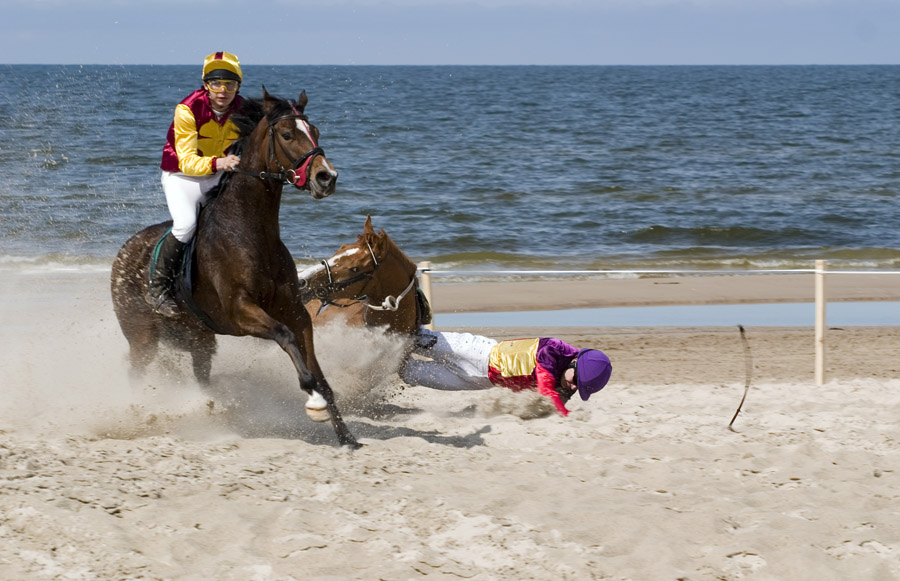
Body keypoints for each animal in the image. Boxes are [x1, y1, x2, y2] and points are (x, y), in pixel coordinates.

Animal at [110, 88, 359, 448]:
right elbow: (286, 338)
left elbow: (316, 366)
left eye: (315, 131)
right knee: (136, 371)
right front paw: (313, 403)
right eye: (287, 134)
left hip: (199, 339)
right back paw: (140, 412)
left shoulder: (295, 311)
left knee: (200, 375)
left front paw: (345, 434)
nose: (326, 177)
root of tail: (124, 252)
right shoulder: (241, 312)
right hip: (142, 337)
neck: (251, 232)